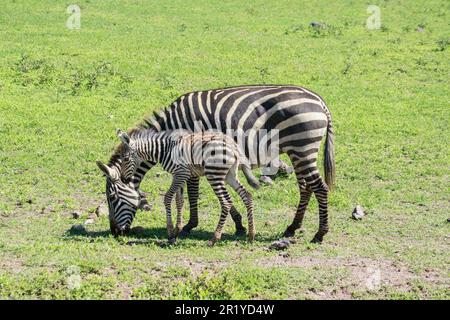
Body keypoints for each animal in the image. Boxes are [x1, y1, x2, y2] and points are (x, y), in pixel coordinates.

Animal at [116, 128, 260, 245]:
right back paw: (251, 235)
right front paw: (177, 231)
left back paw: (214, 238)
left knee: (226, 202)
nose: (123, 179)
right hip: (230, 175)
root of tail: (234, 146)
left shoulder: (181, 173)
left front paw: (170, 232)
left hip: (214, 174)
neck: (165, 151)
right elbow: (179, 201)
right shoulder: (179, 175)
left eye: (126, 159)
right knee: (247, 195)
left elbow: (168, 198)